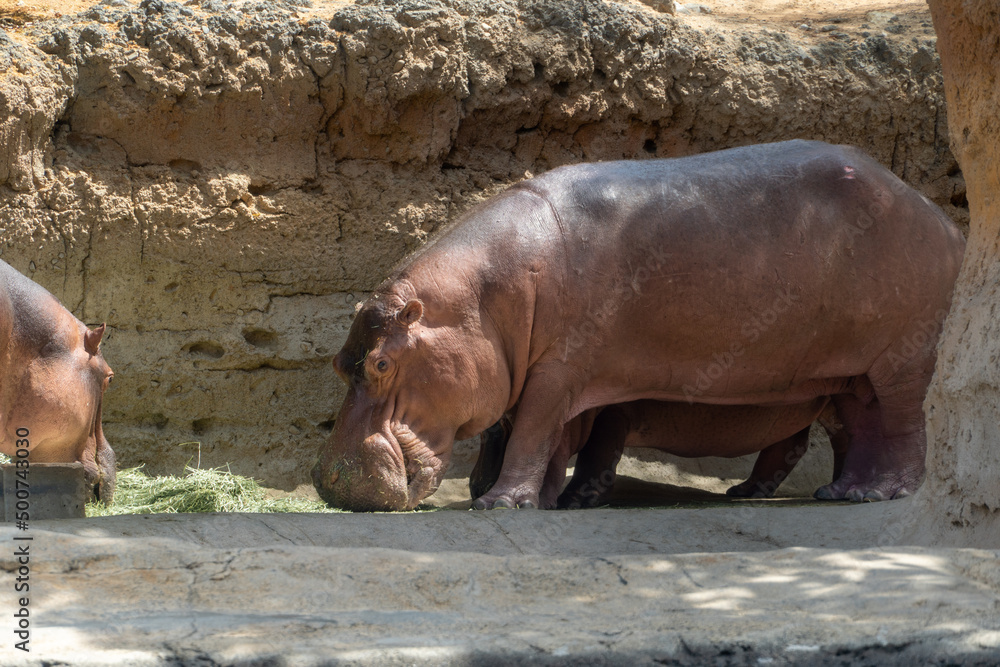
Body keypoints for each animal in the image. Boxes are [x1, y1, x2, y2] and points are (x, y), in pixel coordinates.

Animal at [470, 400, 849, 508]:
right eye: (488, 426)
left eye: (504, 423)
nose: (477, 488)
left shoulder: (611, 414)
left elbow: (598, 453)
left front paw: (575, 500)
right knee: (789, 445)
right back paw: (744, 491)